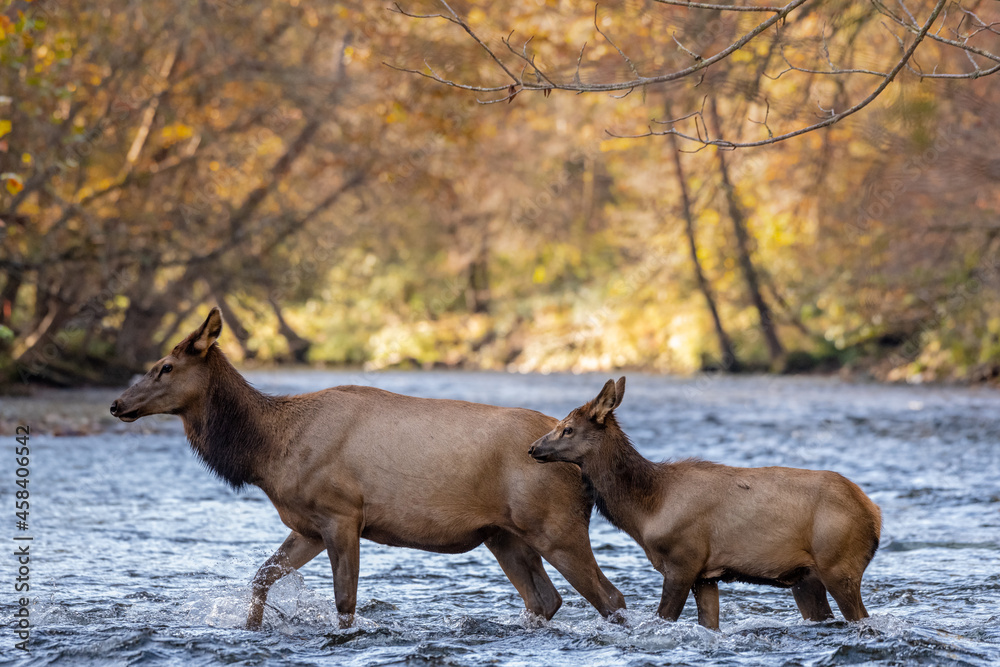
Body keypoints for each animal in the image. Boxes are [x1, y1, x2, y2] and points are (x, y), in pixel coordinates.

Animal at [110, 308, 626, 629]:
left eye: (166, 366)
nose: (117, 404)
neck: (266, 453)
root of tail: (581, 468)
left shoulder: (342, 514)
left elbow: (345, 601)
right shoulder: (308, 525)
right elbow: (260, 578)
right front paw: (250, 629)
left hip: (555, 526)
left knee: (610, 597)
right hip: (504, 535)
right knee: (545, 599)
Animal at [528, 377, 882, 631]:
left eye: (567, 428)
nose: (532, 448)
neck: (645, 511)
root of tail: (874, 513)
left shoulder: (682, 560)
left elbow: (665, 618)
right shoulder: (707, 575)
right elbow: (708, 624)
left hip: (839, 564)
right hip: (807, 577)